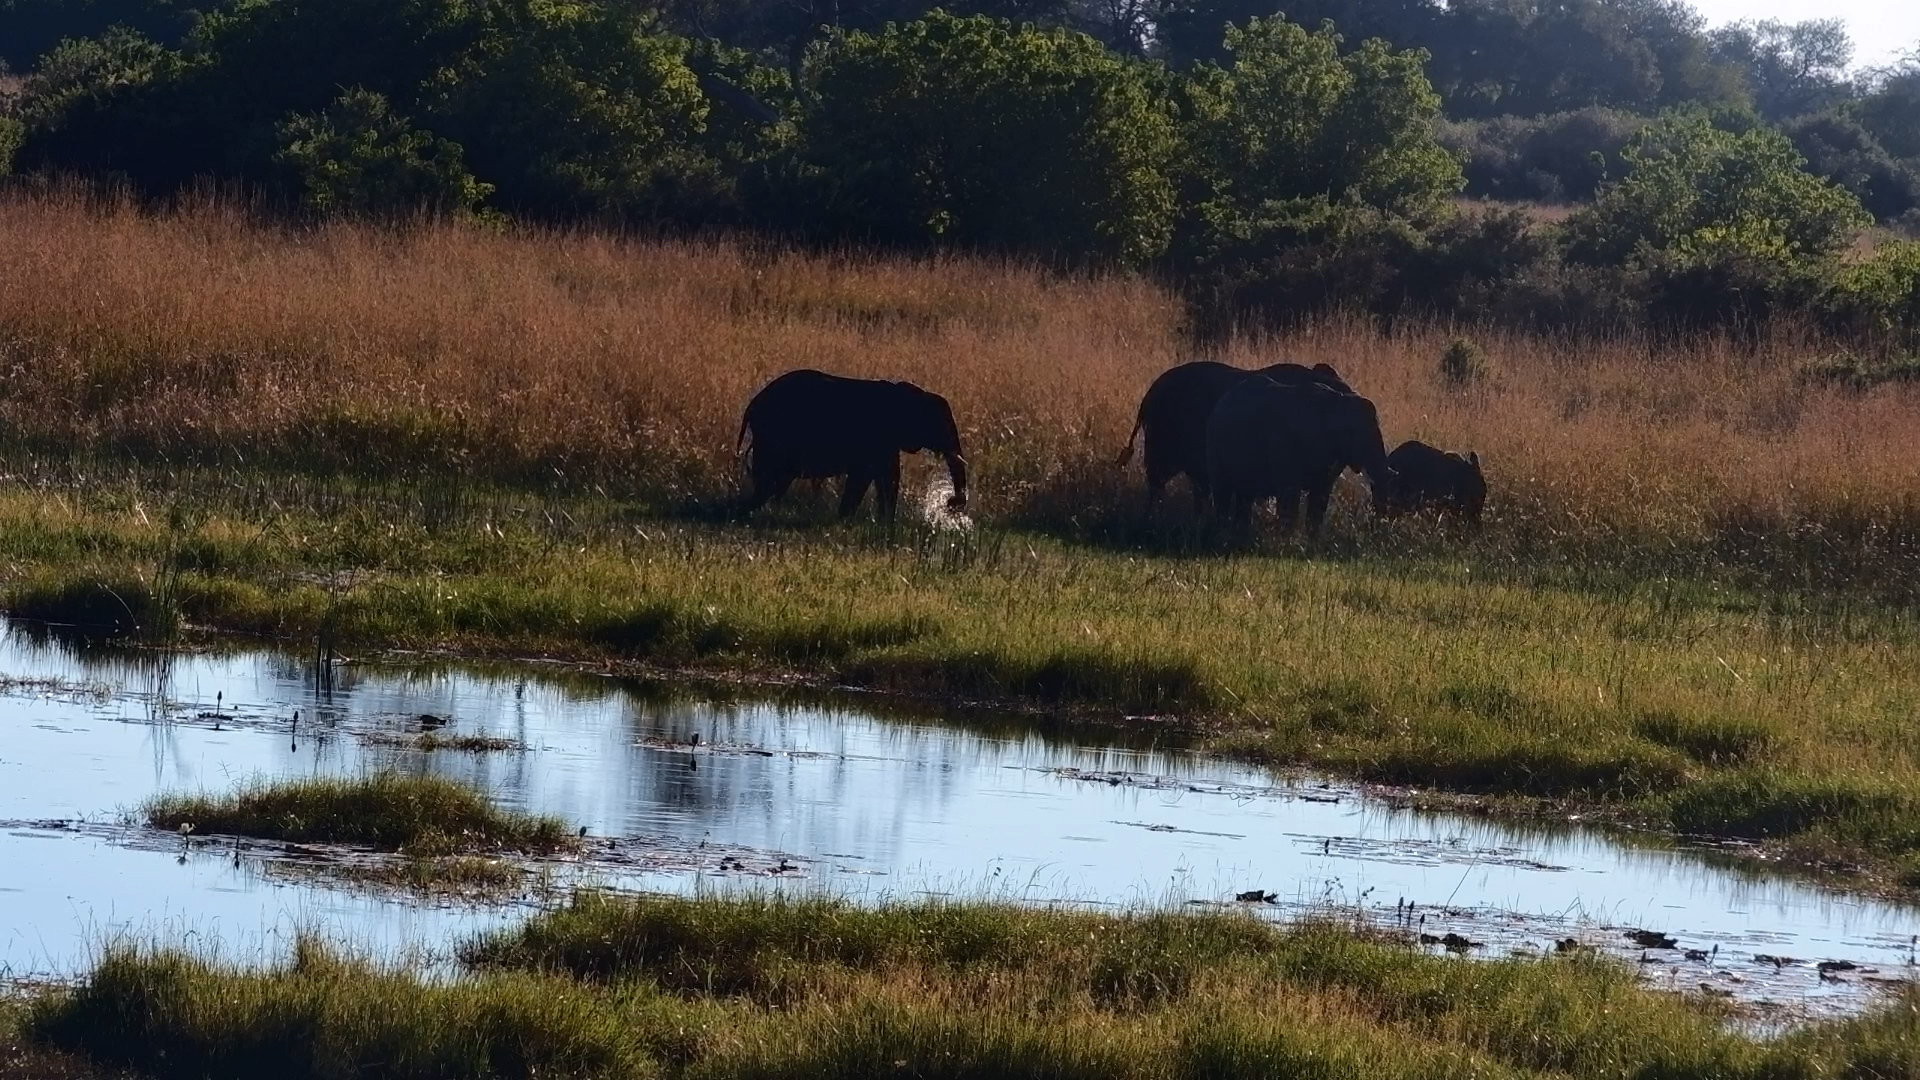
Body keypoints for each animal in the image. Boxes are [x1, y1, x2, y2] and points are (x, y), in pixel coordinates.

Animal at [737, 369, 968, 521]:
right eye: (937, 425)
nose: (951, 503)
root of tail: (752, 405)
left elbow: (886, 476)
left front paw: (882, 523)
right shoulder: (878, 436)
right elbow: (869, 475)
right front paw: (848, 520)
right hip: (773, 437)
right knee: (769, 479)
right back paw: (751, 511)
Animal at [1204, 377, 1392, 536]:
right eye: (1352, 433)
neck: (1335, 403)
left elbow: (1320, 498)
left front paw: (1312, 541)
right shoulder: (1284, 445)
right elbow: (1290, 495)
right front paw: (1287, 540)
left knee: (1245, 497)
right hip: (1214, 445)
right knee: (1223, 493)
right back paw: (1224, 534)